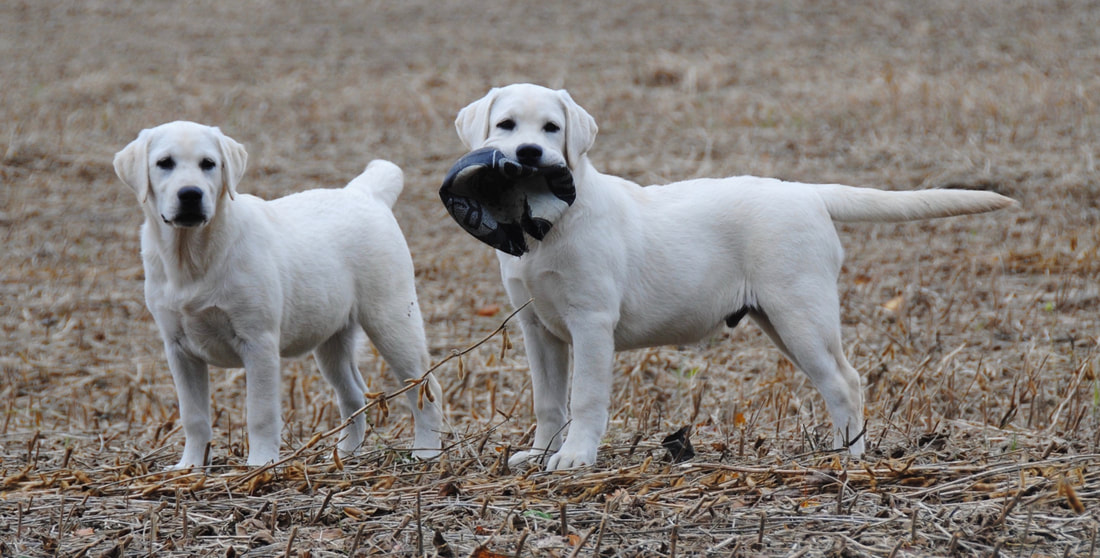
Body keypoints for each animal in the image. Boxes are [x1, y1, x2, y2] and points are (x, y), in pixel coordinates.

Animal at [114, 122, 442, 471]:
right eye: (164, 163)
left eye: (208, 164)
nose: (190, 194)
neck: (192, 255)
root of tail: (364, 192)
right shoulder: (179, 350)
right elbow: (194, 416)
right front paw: (190, 466)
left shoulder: (258, 343)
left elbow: (260, 414)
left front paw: (260, 465)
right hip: (332, 339)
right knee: (354, 394)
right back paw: (342, 456)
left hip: (392, 321)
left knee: (425, 389)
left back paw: (426, 452)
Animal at [453, 83, 1012, 471]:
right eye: (506, 125)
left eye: (551, 128)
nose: (528, 154)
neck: (549, 226)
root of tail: (807, 192)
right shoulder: (538, 329)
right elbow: (549, 401)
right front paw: (539, 453)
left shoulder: (591, 322)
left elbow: (585, 398)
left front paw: (574, 457)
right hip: (779, 322)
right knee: (838, 380)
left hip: (802, 316)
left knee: (845, 381)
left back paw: (846, 457)